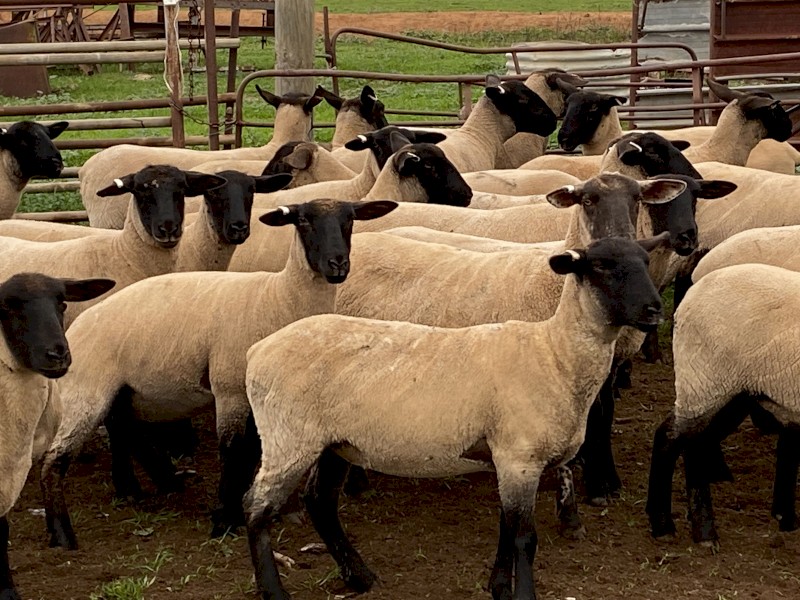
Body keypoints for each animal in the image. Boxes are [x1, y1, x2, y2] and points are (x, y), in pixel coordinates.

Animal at [39, 199, 399, 549]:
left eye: (350, 219)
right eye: (304, 221)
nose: (337, 264)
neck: (276, 298)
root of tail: (79, 325)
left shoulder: (255, 396)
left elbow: (251, 452)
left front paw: (244, 509)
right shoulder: (229, 389)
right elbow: (231, 450)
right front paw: (223, 519)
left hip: (121, 388)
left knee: (122, 425)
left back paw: (144, 485)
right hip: (88, 388)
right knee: (55, 458)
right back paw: (63, 533)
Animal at [241, 235, 666, 600]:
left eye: (645, 261)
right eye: (602, 266)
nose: (655, 309)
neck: (554, 353)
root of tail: (257, 351)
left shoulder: (508, 460)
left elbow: (506, 528)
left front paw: (499, 587)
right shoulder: (519, 458)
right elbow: (524, 538)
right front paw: (521, 594)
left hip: (336, 443)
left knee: (320, 501)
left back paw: (360, 577)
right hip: (288, 438)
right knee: (256, 509)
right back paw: (275, 591)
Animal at [647, 263, 800, 546]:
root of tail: (690, 296)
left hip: (734, 390)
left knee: (692, 440)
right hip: (706, 380)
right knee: (674, 439)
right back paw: (686, 528)